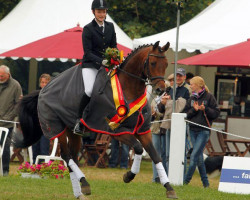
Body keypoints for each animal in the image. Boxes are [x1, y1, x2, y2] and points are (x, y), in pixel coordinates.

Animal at [13, 40, 178, 198]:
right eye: (153, 63)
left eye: (166, 64)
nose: (161, 90)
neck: (128, 89)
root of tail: (42, 90)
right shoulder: (116, 130)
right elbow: (138, 148)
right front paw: (128, 176)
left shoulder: (143, 131)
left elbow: (155, 156)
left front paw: (169, 188)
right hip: (57, 128)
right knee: (66, 156)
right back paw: (84, 183)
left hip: (73, 132)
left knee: (72, 157)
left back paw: (80, 192)